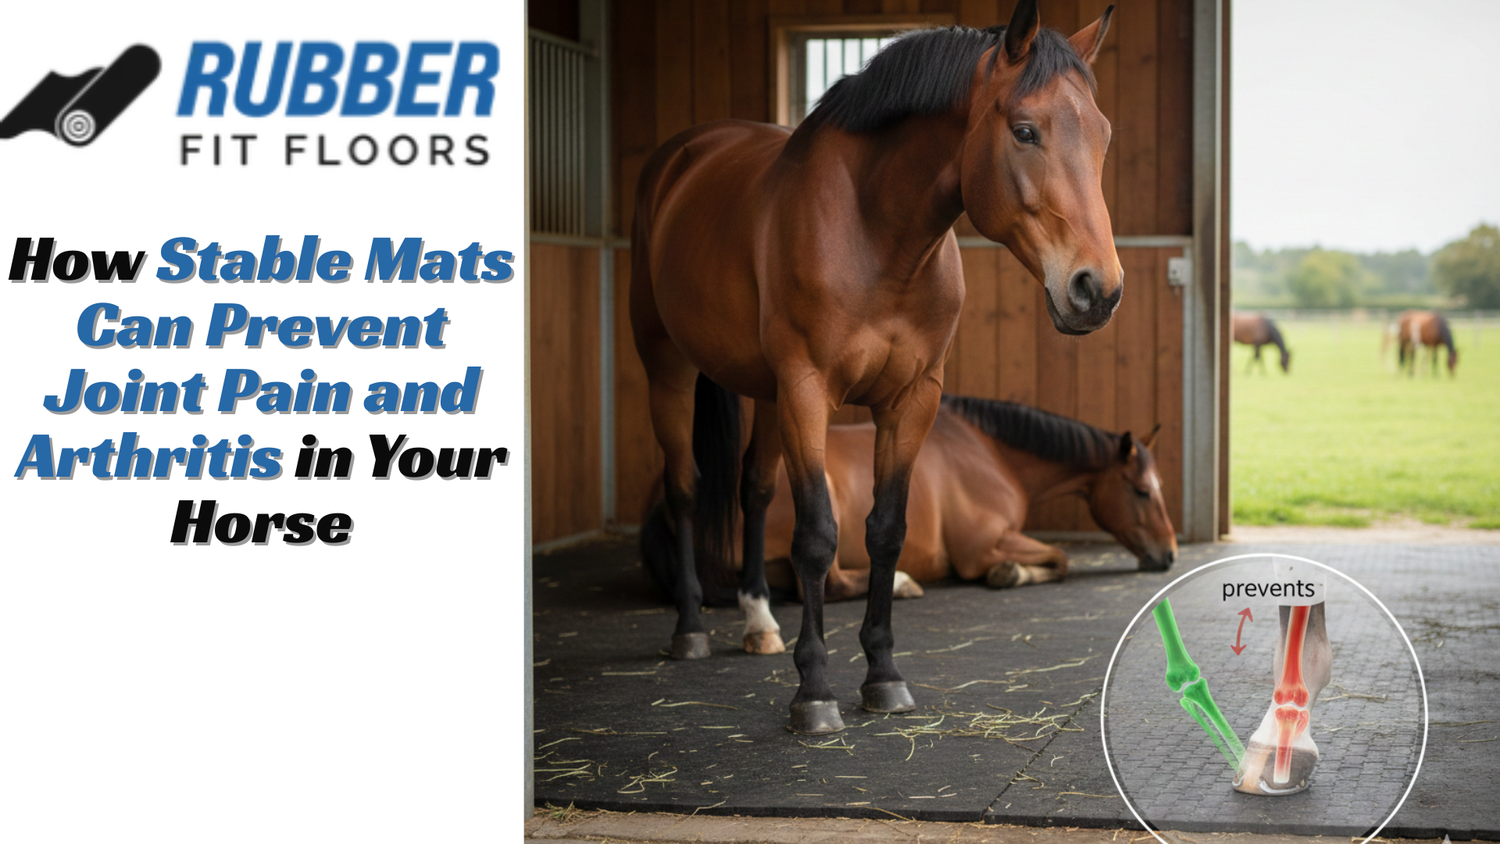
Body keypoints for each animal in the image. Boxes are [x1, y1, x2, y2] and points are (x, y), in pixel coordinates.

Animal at [630, 0, 1120, 735]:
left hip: (767, 395)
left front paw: (884, 676)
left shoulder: (911, 398)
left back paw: (757, 623)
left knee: (754, 491)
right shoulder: (809, 391)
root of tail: (683, 156)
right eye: (1026, 130)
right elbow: (817, 538)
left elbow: (886, 533)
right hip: (669, 368)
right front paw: (814, 693)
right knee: (687, 488)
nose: (1098, 289)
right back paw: (690, 628)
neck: (875, 233)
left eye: (1104, 137)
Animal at [641, 396, 1177, 605]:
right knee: (831, 583)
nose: (1170, 554)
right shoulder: (981, 546)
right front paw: (1011, 573)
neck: (987, 450)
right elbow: (1060, 557)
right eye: (1141, 491)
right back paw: (901, 582)